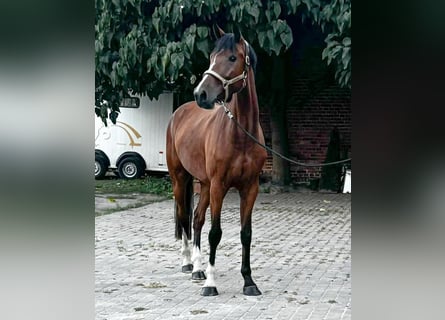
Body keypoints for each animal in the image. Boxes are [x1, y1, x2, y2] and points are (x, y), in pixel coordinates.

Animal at [166, 28, 264, 296]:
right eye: (211, 57)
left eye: (232, 58)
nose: (200, 94)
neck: (241, 135)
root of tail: (178, 112)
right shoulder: (220, 185)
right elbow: (215, 233)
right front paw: (210, 283)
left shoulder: (250, 188)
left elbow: (246, 233)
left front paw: (249, 281)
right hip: (180, 179)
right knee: (184, 218)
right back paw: (189, 264)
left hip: (205, 184)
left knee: (196, 219)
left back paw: (198, 269)